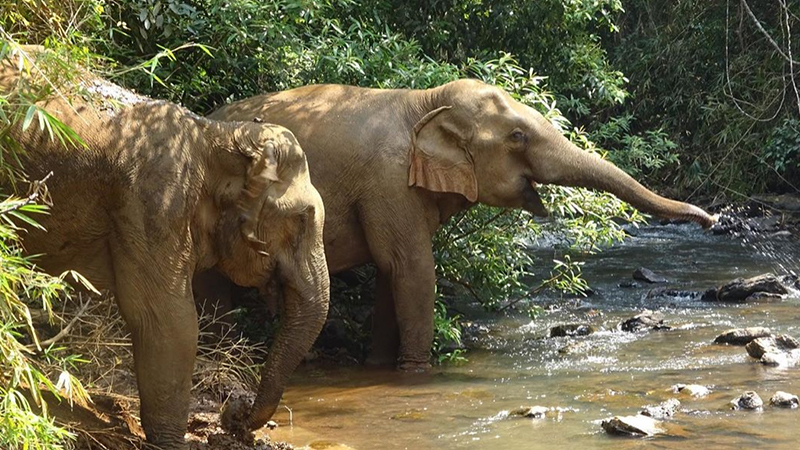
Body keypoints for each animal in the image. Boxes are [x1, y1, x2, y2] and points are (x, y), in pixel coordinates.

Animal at [0, 47, 329, 449]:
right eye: (301, 219)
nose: (234, 412)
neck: (212, 136)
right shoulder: (155, 198)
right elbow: (168, 319)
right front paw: (171, 442)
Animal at [207, 78, 716, 370]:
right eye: (517, 136)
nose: (711, 220)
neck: (422, 103)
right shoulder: (387, 182)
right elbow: (411, 268)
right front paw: (415, 375)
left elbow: (390, 272)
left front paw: (377, 368)